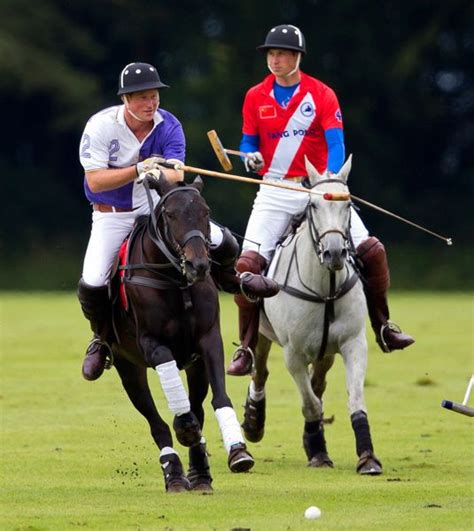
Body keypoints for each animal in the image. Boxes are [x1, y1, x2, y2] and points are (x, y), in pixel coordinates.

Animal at [109, 176, 254, 494]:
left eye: (205, 211)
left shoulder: (209, 340)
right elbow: (178, 410)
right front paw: (184, 428)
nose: (199, 265)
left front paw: (238, 451)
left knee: (198, 407)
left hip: (194, 365)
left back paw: (199, 474)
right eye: (171, 214)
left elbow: (220, 397)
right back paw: (174, 474)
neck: (176, 281)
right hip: (128, 367)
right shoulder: (152, 345)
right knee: (156, 423)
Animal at [243, 156, 384, 476]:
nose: (335, 253)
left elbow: (353, 399)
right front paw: (317, 450)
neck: (325, 289)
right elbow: (309, 403)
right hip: (262, 332)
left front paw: (367, 457)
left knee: (317, 383)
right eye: (314, 205)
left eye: (348, 205)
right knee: (260, 371)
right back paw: (253, 421)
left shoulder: (354, 343)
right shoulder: (293, 354)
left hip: (325, 351)